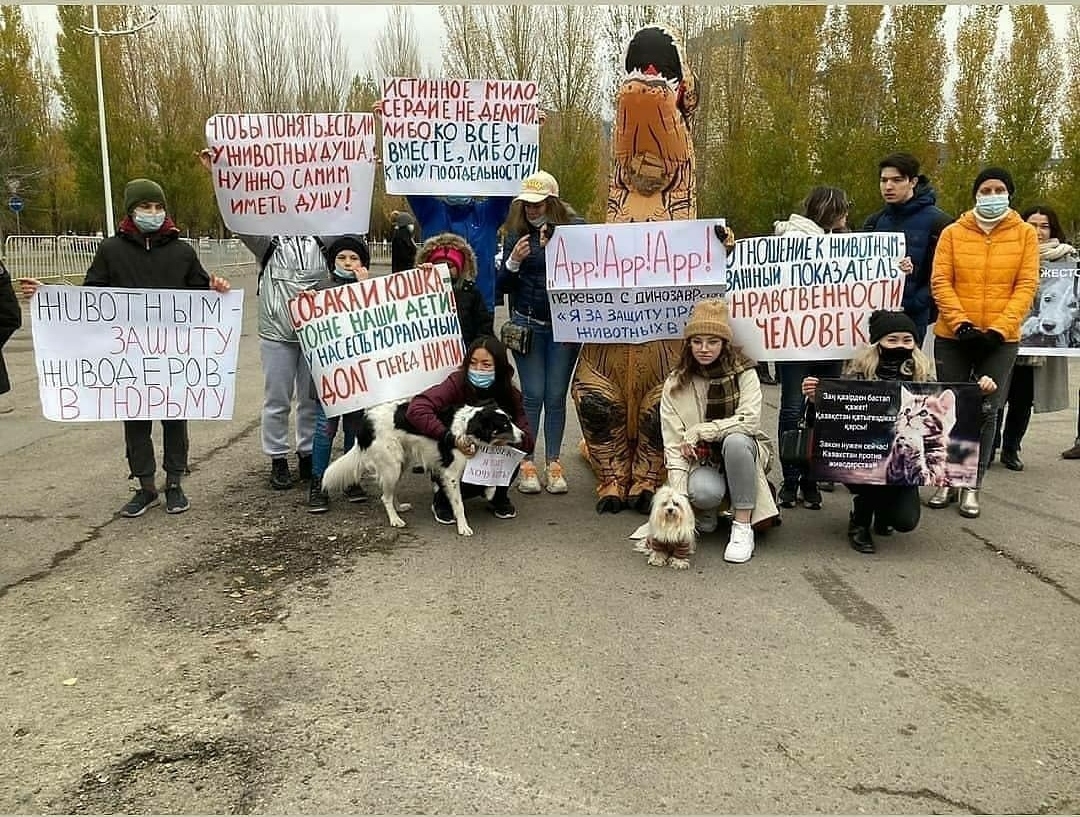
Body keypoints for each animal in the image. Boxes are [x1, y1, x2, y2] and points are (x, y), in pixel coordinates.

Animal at [319, 399, 522, 536]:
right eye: (504, 424)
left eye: (511, 420)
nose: (523, 435)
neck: (468, 427)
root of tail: (366, 423)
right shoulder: (451, 474)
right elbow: (459, 505)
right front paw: (463, 527)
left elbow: (491, 483)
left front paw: (490, 493)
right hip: (392, 466)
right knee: (385, 497)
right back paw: (395, 519)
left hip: (401, 464)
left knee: (391, 492)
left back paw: (399, 508)